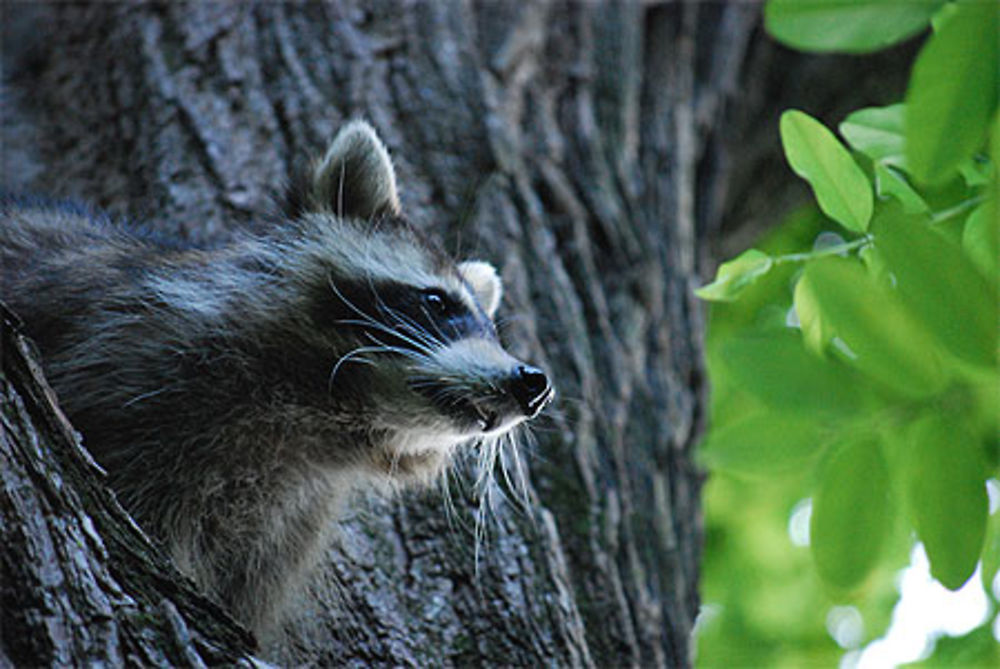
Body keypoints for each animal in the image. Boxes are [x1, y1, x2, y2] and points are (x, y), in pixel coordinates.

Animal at [0, 120, 556, 636]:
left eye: (491, 329)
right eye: (437, 302)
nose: (533, 383)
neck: (318, 415)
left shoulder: (287, 519)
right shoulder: (134, 370)